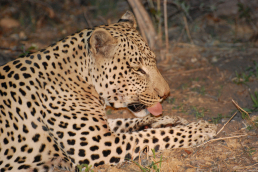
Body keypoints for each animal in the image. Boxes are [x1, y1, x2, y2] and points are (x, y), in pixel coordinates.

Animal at [0, 11, 218, 171]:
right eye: (137, 69)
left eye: (154, 62)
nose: (165, 94)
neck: (82, 80)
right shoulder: (97, 144)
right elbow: (151, 136)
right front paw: (201, 128)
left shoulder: (102, 129)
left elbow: (127, 122)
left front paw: (170, 120)